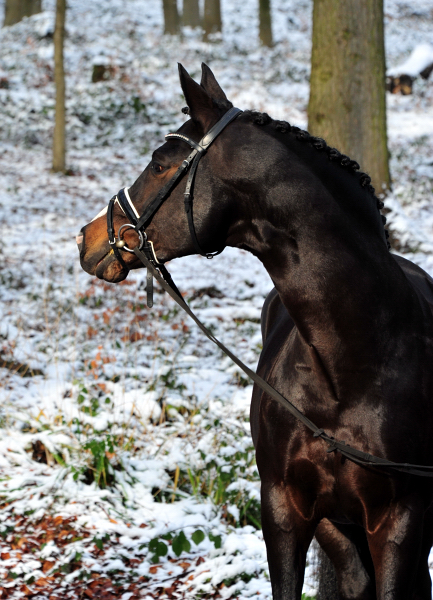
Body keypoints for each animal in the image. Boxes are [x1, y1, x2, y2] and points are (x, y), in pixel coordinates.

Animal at [77, 63, 432, 596]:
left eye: (159, 164)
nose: (88, 237)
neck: (352, 364)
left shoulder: (400, 524)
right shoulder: (284, 511)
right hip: (337, 530)